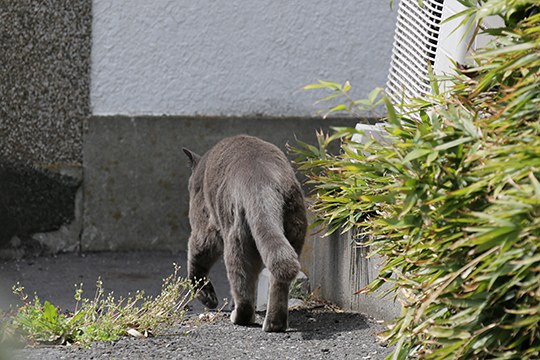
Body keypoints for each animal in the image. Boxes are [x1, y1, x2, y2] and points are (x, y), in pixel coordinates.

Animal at [182, 135, 306, 332]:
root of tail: (261, 181)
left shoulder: (205, 226)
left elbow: (196, 262)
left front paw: (207, 297)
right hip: (293, 229)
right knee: (277, 282)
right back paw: (274, 324)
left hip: (236, 240)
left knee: (242, 287)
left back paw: (239, 317)